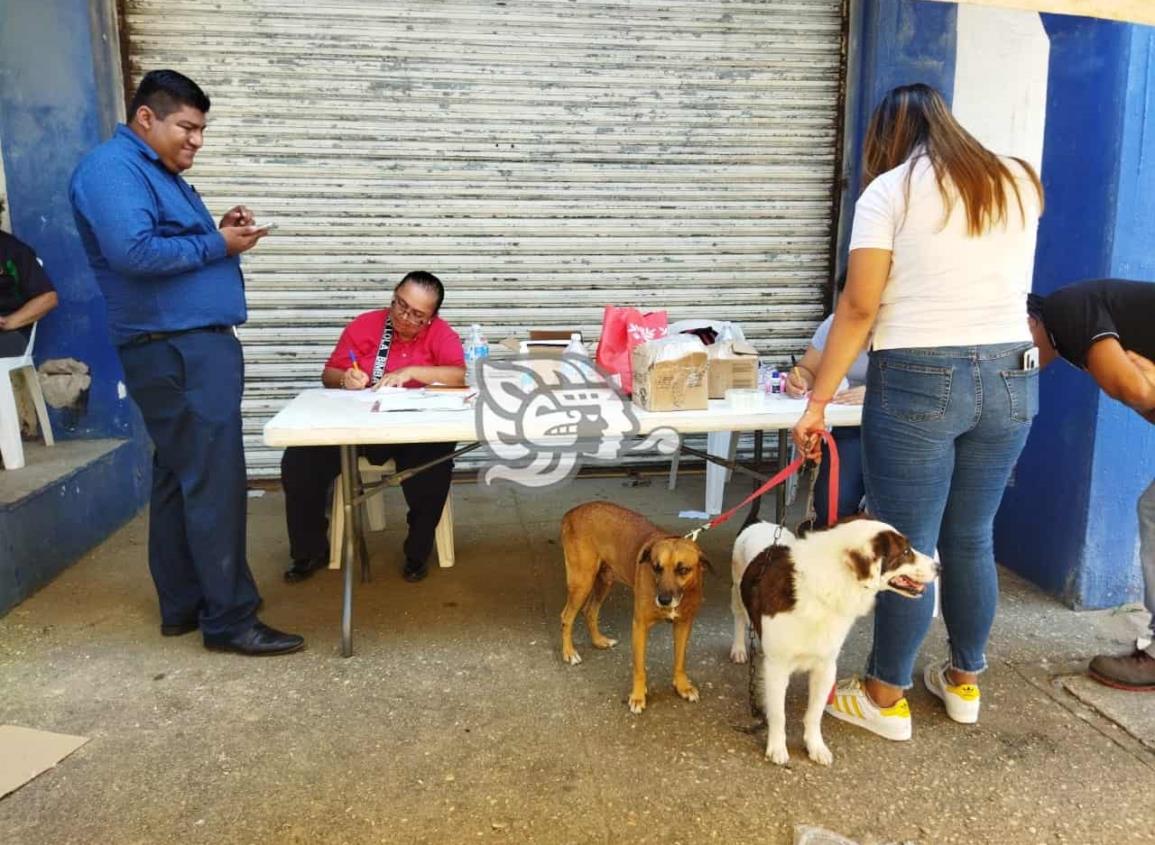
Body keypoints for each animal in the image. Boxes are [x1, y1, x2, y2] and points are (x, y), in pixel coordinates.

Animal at [556, 500, 706, 711]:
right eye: (656, 567)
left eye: (683, 570)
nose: (664, 600)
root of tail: (571, 512)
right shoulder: (640, 626)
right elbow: (639, 667)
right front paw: (637, 696)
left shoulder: (683, 625)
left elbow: (679, 661)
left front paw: (683, 686)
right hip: (582, 581)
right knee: (567, 617)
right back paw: (569, 652)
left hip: (605, 580)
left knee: (590, 611)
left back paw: (599, 641)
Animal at [729, 514, 937, 766]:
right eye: (906, 551)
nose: (939, 567)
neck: (822, 591)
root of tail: (761, 522)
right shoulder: (778, 668)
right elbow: (779, 714)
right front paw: (777, 747)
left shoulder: (826, 667)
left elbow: (814, 714)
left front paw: (815, 746)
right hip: (736, 587)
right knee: (739, 617)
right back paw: (739, 648)